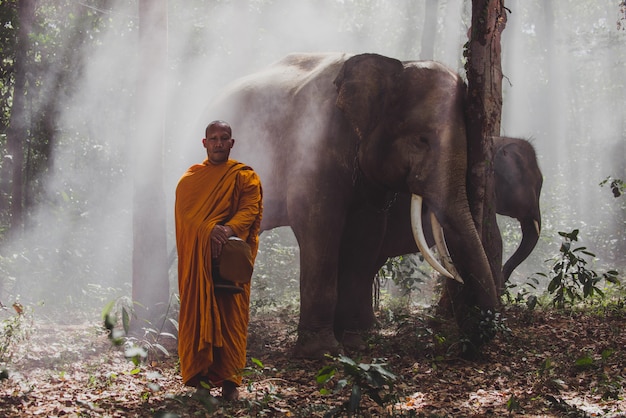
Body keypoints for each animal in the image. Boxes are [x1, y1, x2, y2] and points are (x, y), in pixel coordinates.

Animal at [204, 51, 498, 356]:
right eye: (422, 139)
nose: (473, 340)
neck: (395, 65)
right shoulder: (313, 144)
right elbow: (319, 224)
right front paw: (321, 351)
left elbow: (366, 231)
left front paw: (356, 343)